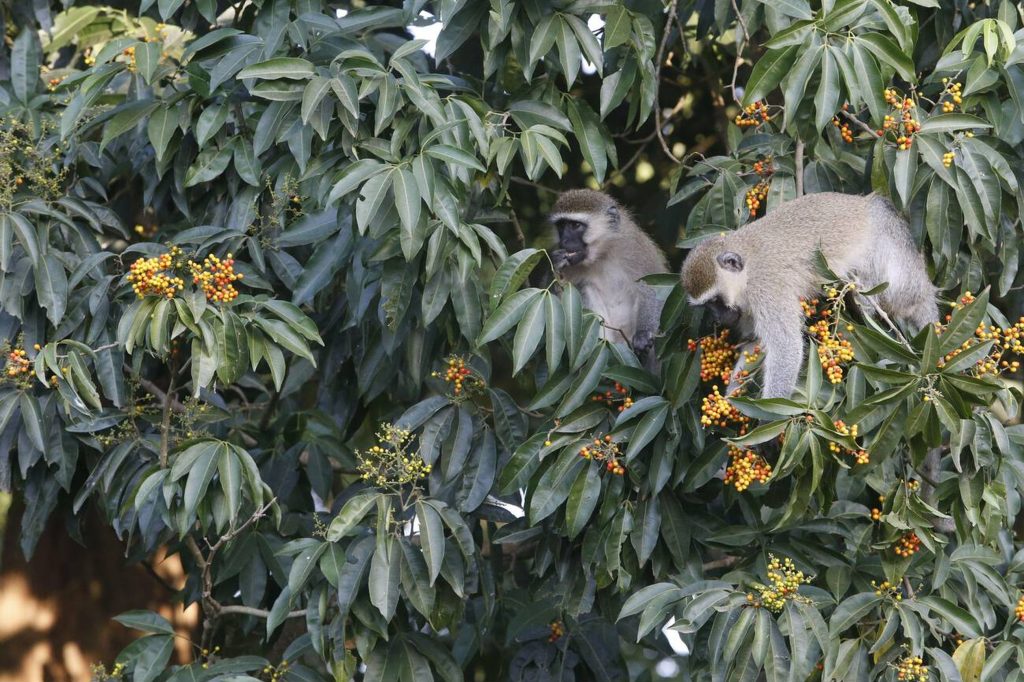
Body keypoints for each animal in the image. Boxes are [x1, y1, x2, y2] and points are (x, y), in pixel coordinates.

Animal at [549, 189, 669, 369]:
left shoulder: (635, 248)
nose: (564, 241)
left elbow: (651, 289)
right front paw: (556, 263)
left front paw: (643, 335)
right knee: (584, 287)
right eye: (561, 226)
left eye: (575, 225)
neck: (602, 254)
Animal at [680, 192, 938, 400]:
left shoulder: (767, 289)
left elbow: (786, 347)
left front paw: (769, 417)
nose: (717, 318)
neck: (747, 269)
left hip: (899, 274)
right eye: (707, 306)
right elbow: (756, 344)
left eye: (715, 301)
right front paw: (732, 400)